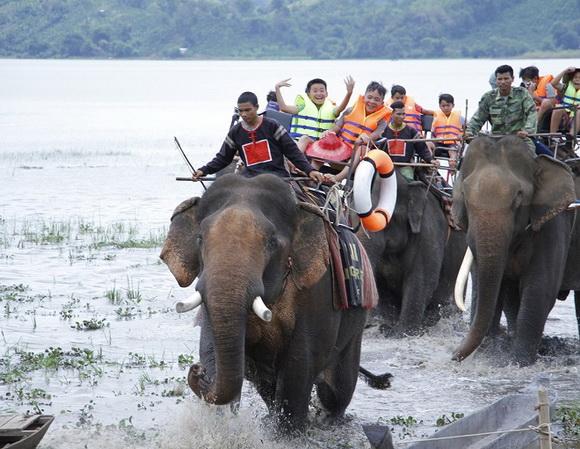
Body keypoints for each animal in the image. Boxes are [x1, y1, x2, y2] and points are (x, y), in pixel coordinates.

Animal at [161, 174, 374, 430]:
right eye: (200, 239)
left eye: (272, 243)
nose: (196, 370)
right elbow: (210, 345)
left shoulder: (318, 290)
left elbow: (300, 365)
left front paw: (289, 432)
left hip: (357, 317)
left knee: (337, 387)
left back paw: (328, 418)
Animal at [356, 170, 464, 334]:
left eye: (384, 216)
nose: (367, 326)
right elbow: (380, 284)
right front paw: (382, 327)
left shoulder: (428, 232)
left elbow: (422, 280)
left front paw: (403, 333)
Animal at [450, 136, 572, 364]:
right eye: (465, 197)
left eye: (518, 197)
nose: (453, 355)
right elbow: (490, 286)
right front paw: (491, 353)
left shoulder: (554, 224)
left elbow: (540, 288)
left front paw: (518, 363)